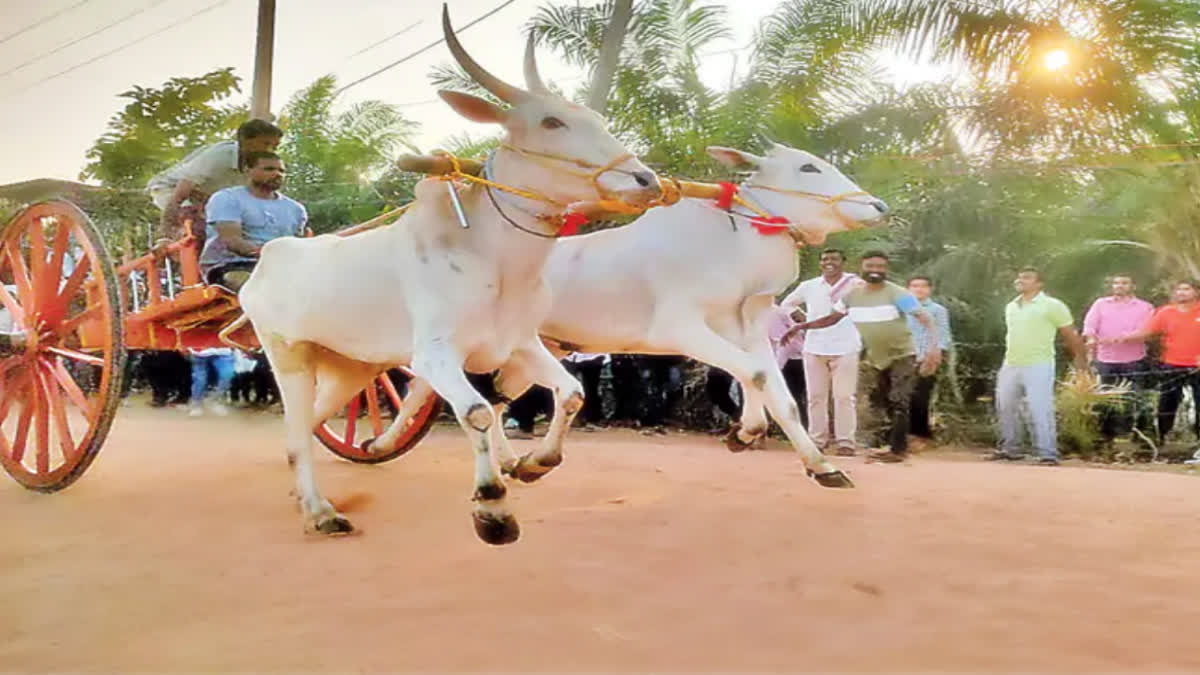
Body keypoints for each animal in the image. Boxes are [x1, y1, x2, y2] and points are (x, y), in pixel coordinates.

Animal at [237, 5, 662, 538]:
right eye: (551, 121)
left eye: (598, 119)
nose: (647, 181)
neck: (496, 261)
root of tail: (266, 263)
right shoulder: (435, 353)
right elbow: (478, 413)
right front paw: (492, 505)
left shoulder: (519, 344)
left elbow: (570, 394)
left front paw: (534, 463)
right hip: (288, 355)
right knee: (297, 428)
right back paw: (321, 510)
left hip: (353, 369)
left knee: (307, 426)